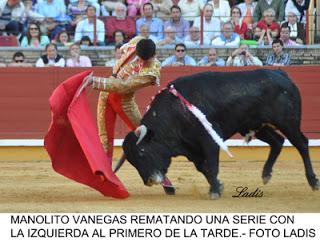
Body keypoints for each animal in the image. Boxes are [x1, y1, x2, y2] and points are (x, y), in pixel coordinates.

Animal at [119, 68, 318, 199]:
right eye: (132, 161)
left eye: (142, 152)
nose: (149, 180)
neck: (176, 111)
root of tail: (281, 74)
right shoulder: (190, 147)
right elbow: (203, 168)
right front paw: (218, 186)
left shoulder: (209, 139)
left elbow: (212, 165)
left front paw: (214, 191)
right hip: (255, 125)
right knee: (277, 141)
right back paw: (266, 174)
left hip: (288, 121)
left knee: (301, 143)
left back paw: (313, 181)